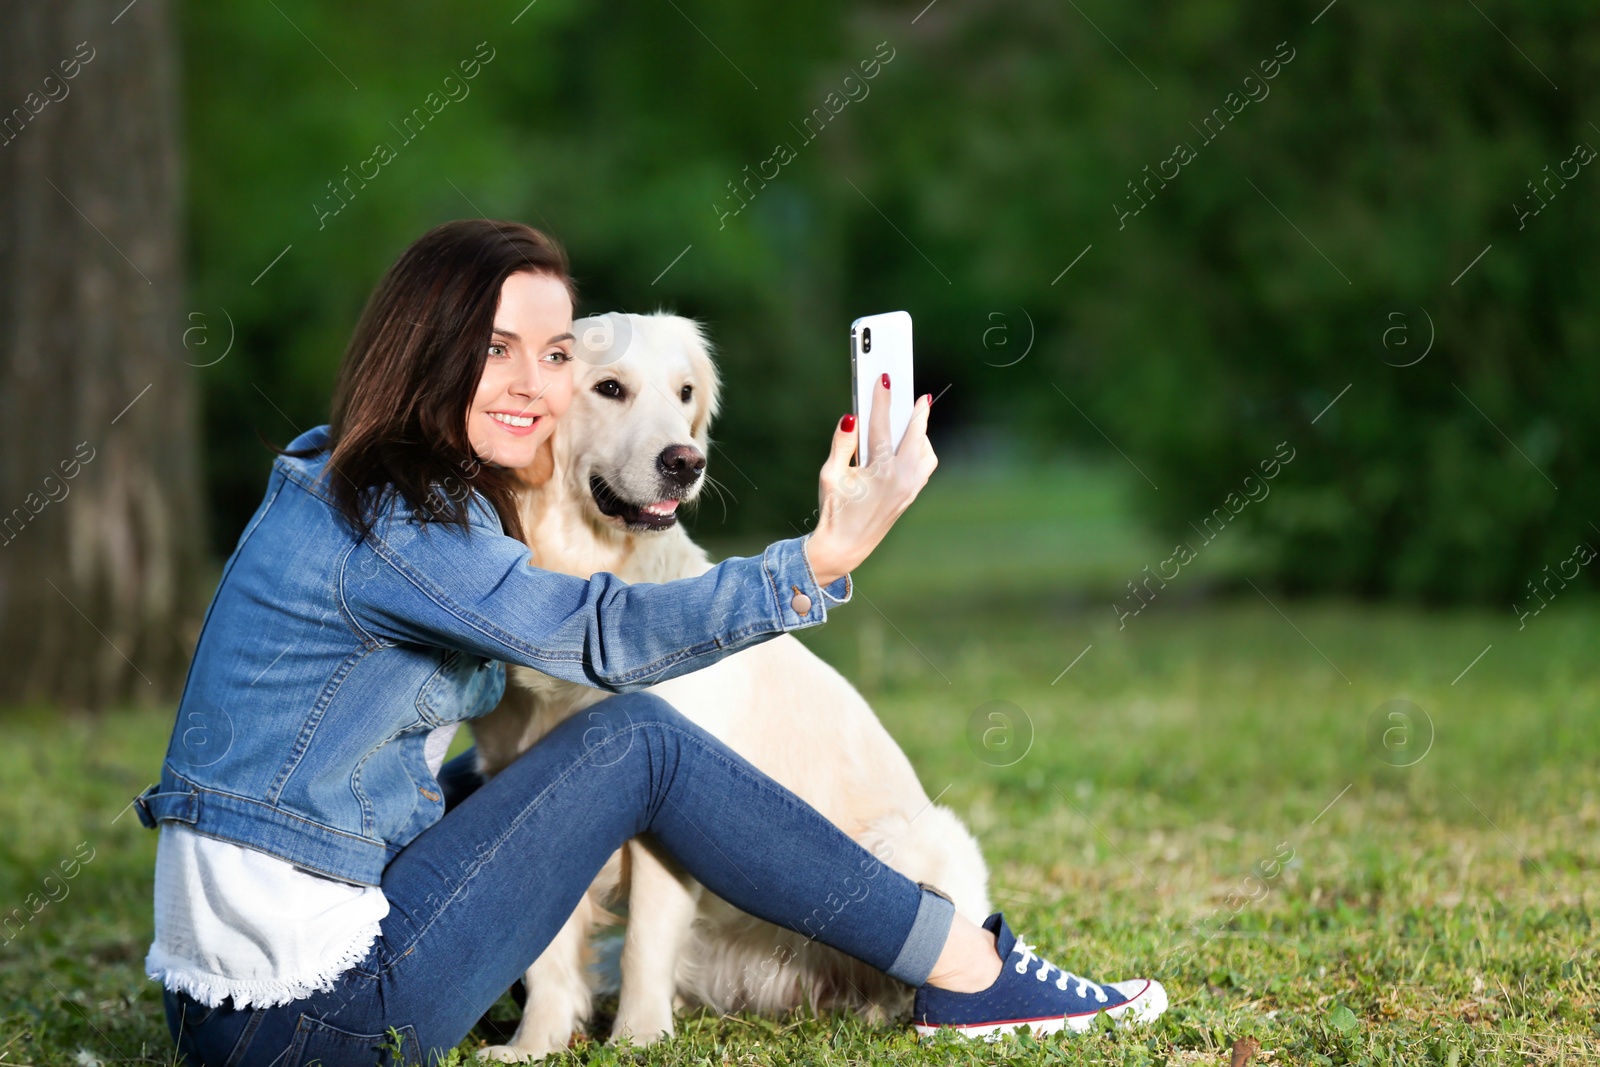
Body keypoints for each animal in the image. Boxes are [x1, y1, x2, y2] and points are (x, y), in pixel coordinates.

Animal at [467, 313, 985, 1062]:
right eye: (609, 387)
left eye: (684, 392)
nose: (685, 462)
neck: (582, 567)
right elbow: (549, 957)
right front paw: (535, 1044)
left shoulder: (660, 802)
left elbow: (644, 942)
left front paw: (639, 1039)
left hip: (911, 840)